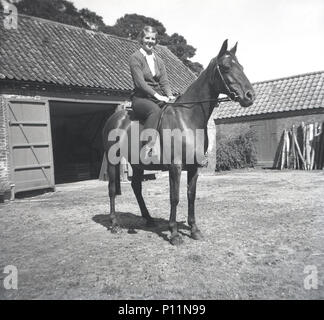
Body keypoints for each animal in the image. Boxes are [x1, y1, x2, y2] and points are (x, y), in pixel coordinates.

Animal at [102, 39, 254, 245]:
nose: (249, 96)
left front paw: (194, 230)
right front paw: (174, 233)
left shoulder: (194, 167)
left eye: (242, 66)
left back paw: (149, 219)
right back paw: (114, 224)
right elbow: (174, 197)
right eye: (226, 67)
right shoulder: (175, 167)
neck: (187, 118)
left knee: (137, 188)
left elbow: (191, 196)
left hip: (138, 164)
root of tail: (116, 118)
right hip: (113, 161)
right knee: (111, 190)